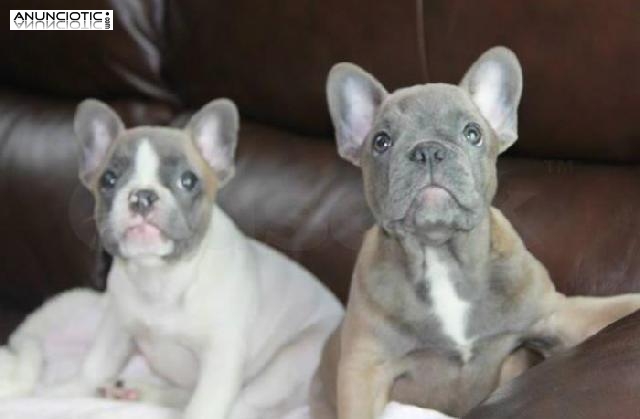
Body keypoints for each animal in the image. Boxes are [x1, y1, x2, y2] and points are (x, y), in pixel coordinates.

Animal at [48, 98, 344, 419]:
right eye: (109, 179)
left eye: (187, 180)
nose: (142, 196)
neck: (163, 277)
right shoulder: (116, 325)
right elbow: (95, 366)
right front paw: (62, 393)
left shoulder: (220, 359)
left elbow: (205, 405)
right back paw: (136, 391)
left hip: (290, 364)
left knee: (244, 404)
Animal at [308, 46, 640, 419]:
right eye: (381, 142)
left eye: (472, 133)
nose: (428, 149)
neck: (440, 254)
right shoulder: (365, 369)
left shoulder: (556, 315)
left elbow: (617, 307)